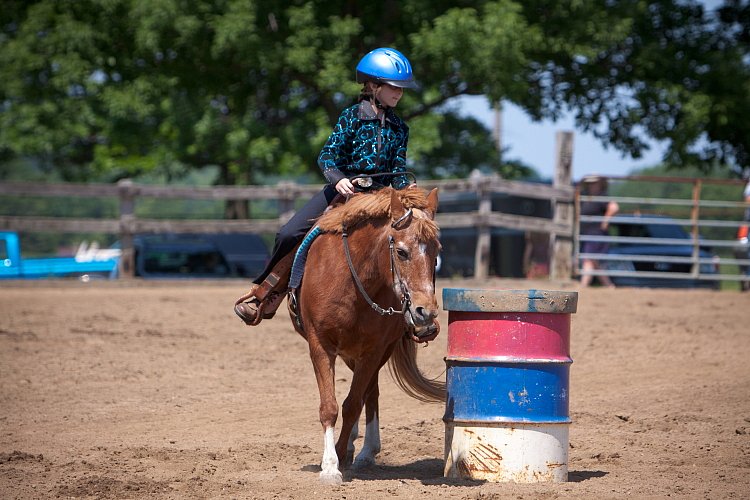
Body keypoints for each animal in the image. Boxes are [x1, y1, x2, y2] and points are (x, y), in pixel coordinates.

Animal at [290, 186, 446, 482]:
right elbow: (330, 406)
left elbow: (353, 403)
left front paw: (340, 455)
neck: (352, 280)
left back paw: (365, 451)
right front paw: (330, 466)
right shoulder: (320, 345)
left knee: (370, 394)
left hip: (373, 353)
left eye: (436, 252)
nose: (425, 313)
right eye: (401, 252)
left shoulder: (373, 350)